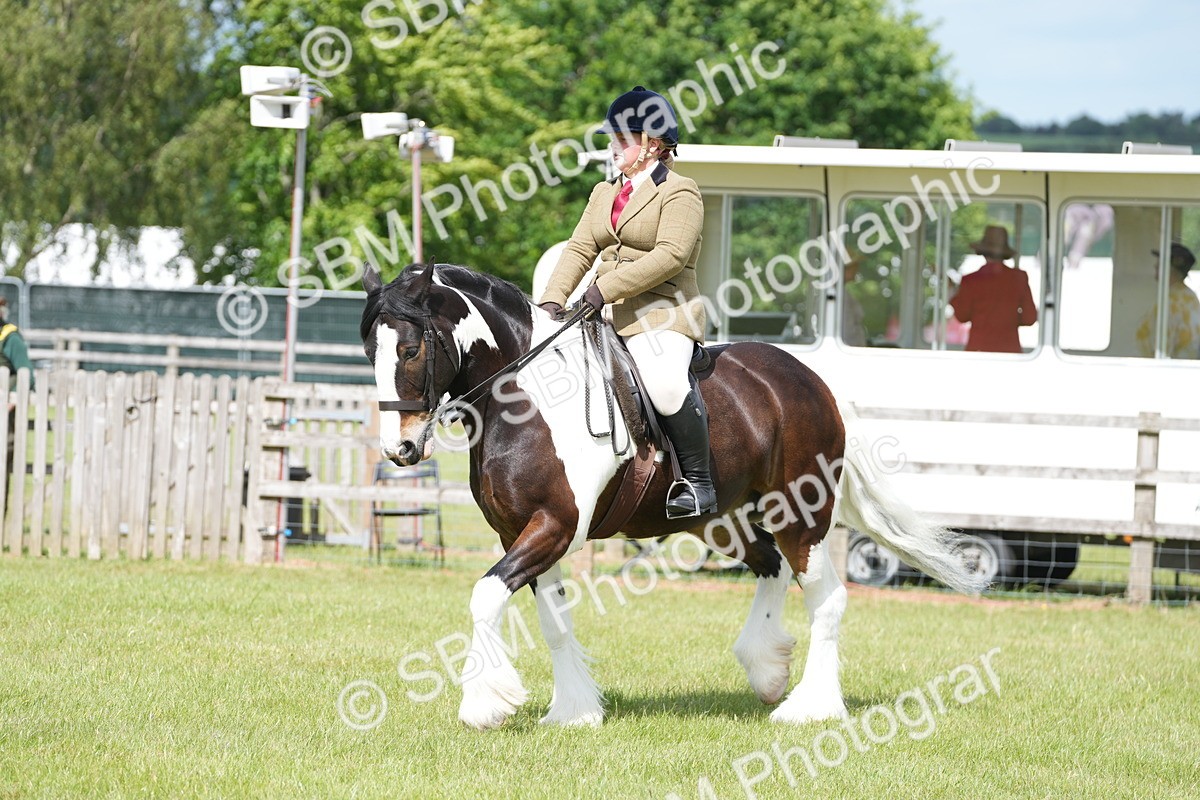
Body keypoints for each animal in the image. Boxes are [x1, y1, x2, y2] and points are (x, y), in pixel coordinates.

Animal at [360, 262, 986, 730]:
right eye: (370, 351)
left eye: (411, 350)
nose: (400, 448)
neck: (526, 398)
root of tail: (812, 382)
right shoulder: (522, 532)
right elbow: (552, 621)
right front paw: (574, 712)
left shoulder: (554, 526)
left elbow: (485, 597)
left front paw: (483, 704)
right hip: (720, 521)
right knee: (771, 565)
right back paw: (766, 670)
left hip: (801, 513)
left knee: (824, 597)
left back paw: (810, 708)